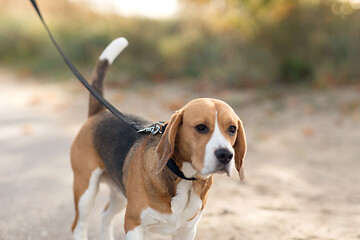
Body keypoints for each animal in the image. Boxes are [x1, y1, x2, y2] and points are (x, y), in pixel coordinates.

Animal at [70, 37, 246, 240]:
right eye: (201, 127)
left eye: (232, 129)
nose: (226, 155)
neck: (185, 180)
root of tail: (99, 113)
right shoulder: (134, 224)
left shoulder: (186, 230)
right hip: (86, 190)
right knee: (78, 226)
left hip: (120, 193)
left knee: (105, 215)